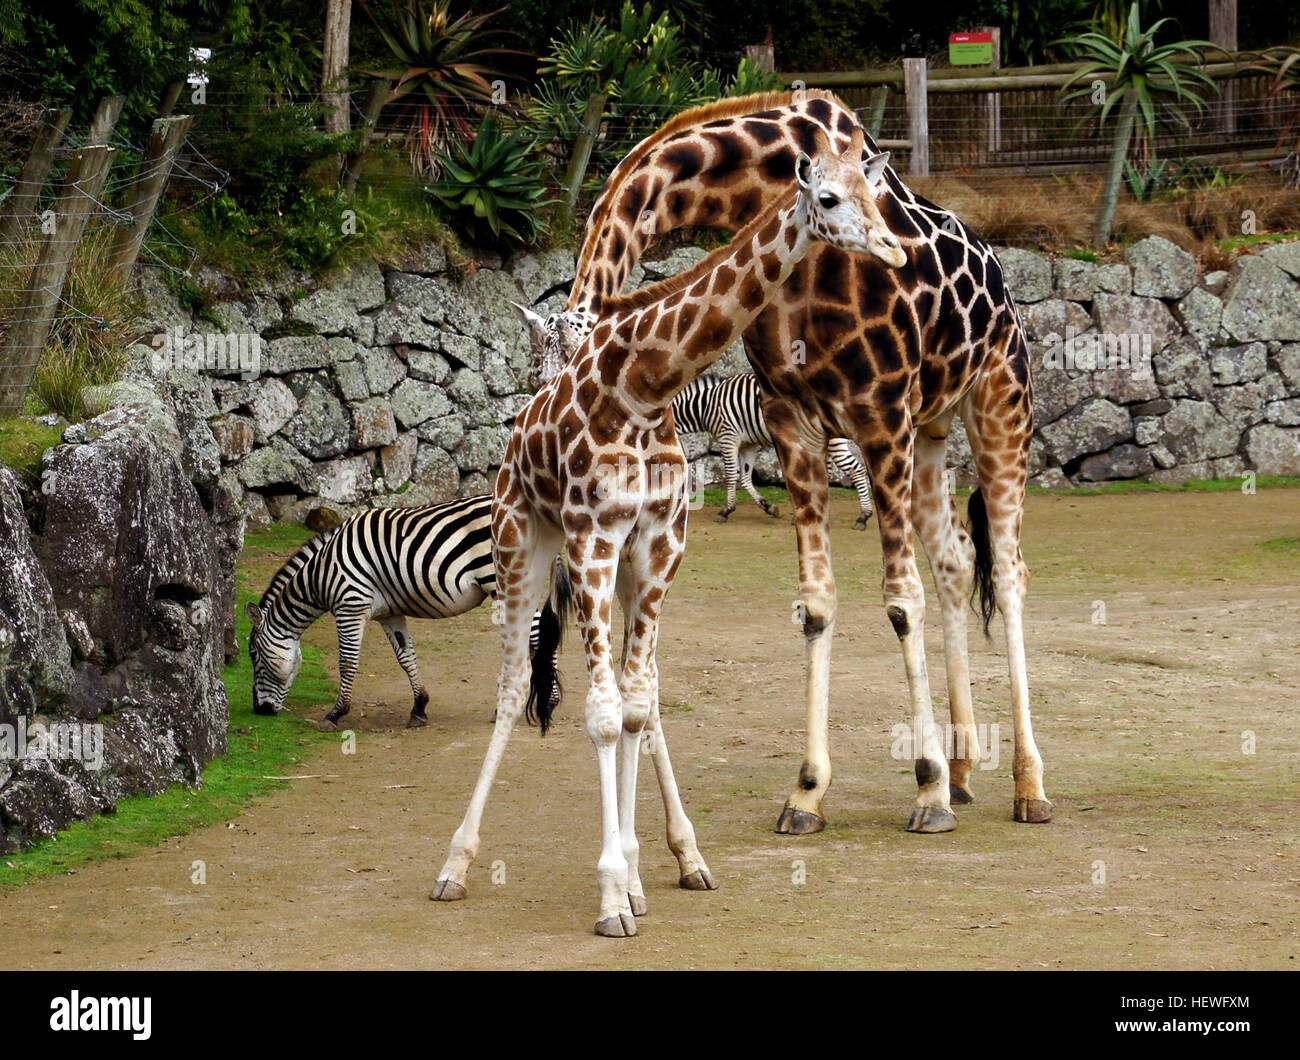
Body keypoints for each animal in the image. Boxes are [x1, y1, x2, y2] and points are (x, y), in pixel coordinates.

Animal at [430, 128, 905, 937]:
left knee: (630, 690)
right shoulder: (592, 536)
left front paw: (648, 871)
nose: (893, 250)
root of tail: (515, 438)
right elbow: (601, 715)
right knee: (514, 685)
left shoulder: (656, 545)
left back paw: (661, 863)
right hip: (524, 542)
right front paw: (612, 897)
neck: (645, 384)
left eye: (876, 194)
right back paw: (455, 865)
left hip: (614, 572)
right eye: (828, 197)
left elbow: (637, 704)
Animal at [516, 90, 1052, 836]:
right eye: (540, 382)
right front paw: (808, 794)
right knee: (954, 560)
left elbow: (900, 599)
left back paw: (1027, 784)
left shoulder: (879, 410)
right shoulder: (792, 420)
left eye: (590, 378)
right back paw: (967, 766)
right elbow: (818, 603)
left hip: (999, 398)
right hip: (932, 430)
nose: (566, 464)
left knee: (1006, 570)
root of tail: (1001, 273)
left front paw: (925, 790)